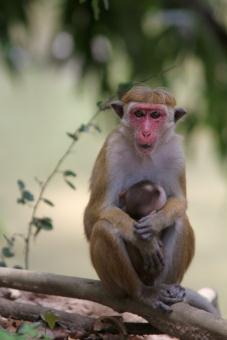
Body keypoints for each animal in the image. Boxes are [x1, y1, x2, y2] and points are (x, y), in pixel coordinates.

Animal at [84, 84, 219, 314]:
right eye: (139, 114)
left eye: (155, 115)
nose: (146, 131)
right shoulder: (112, 149)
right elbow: (94, 215)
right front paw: (141, 240)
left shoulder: (175, 152)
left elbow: (180, 202)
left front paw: (156, 222)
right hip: (112, 285)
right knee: (105, 228)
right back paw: (143, 293)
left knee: (180, 221)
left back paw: (169, 288)